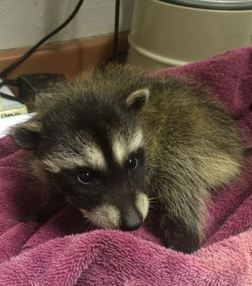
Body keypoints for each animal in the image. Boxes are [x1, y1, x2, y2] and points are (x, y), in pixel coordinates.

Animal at [9, 65, 244, 252]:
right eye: (85, 176)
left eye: (132, 163)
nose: (133, 223)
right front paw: (50, 202)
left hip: (194, 138)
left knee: (177, 172)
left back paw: (184, 233)